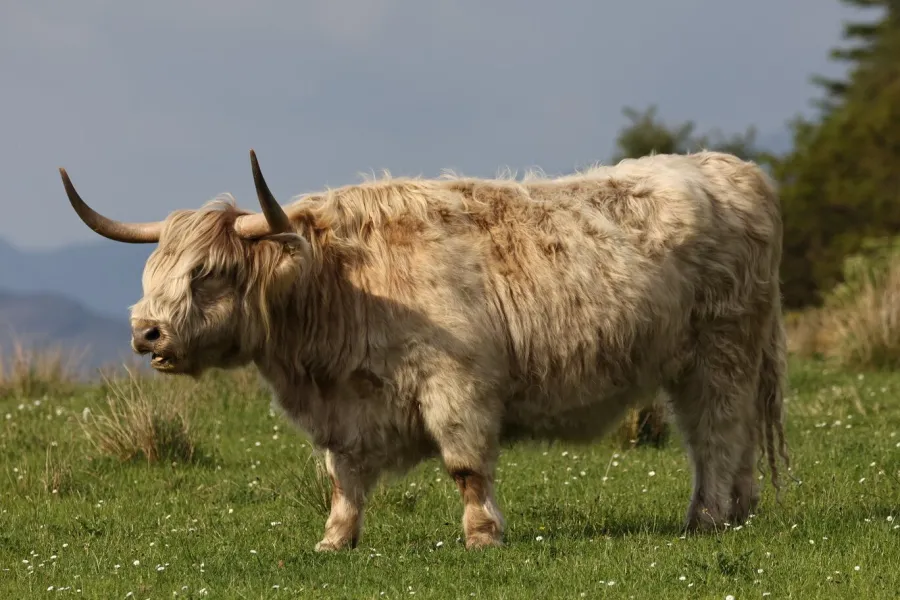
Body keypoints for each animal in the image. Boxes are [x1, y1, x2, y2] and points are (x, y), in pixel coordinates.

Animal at [58, 149, 789, 551]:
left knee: (718, 435)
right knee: (724, 440)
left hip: (721, 352)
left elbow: (466, 468)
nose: (146, 332)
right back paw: (734, 511)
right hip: (701, 363)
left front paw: (481, 535)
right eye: (151, 270)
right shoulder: (347, 414)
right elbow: (344, 481)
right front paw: (335, 540)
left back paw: (708, 517)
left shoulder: (457, 385)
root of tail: (728, 167)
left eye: (208, 273)